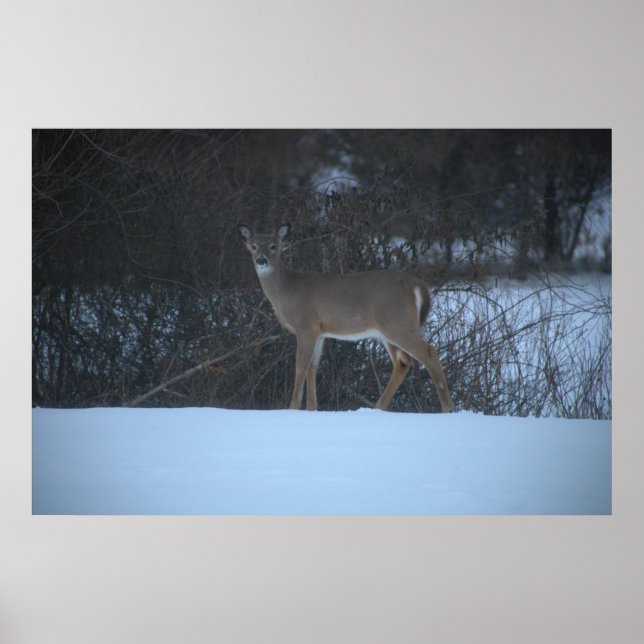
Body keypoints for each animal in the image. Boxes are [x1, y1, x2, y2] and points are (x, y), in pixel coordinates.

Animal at [238, 224, 454, 413]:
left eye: (274, 246)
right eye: (253, 246)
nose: (262, 260)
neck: (286, 291)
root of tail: (420, 287)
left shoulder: (306, 325)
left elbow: (301, 365)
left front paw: (293, 408)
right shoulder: (320, 332)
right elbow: (313, 366)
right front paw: (312, 408)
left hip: (397, 323)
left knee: (428, 352)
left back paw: (447, 408)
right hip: (388, 330)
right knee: (402, 362)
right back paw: (378, 407)